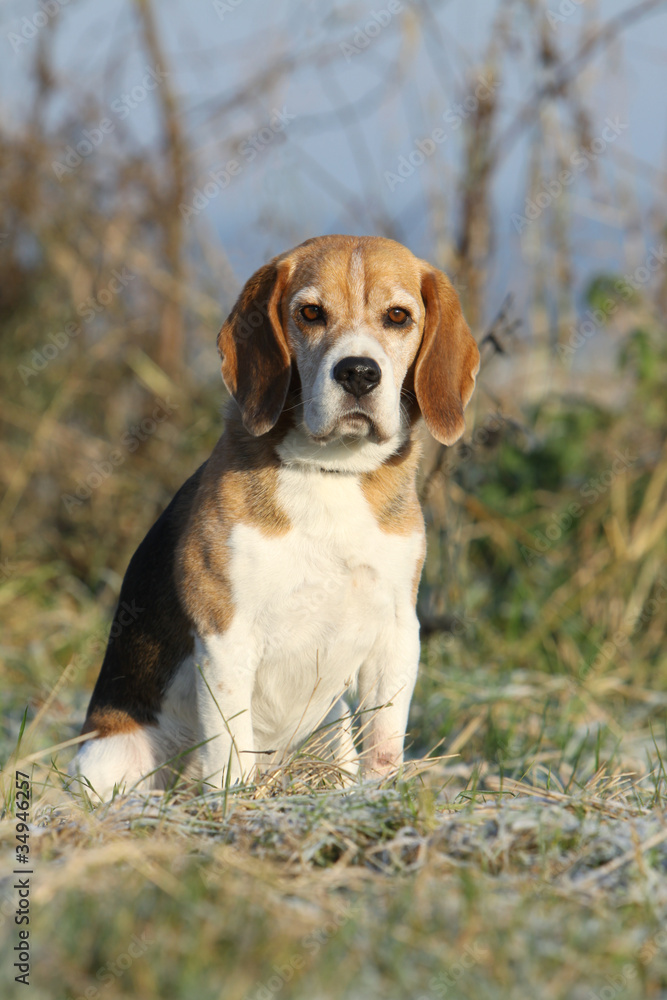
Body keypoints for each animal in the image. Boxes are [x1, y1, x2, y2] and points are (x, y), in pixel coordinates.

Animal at [69, 232, 480, 796]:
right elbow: (230, 751)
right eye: (310, 312)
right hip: (111, 758)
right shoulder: (226, 635)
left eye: (398, 316)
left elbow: (384, 742)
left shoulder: (396, 633)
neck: (331, 473)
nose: (358, 372)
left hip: (331, 729)